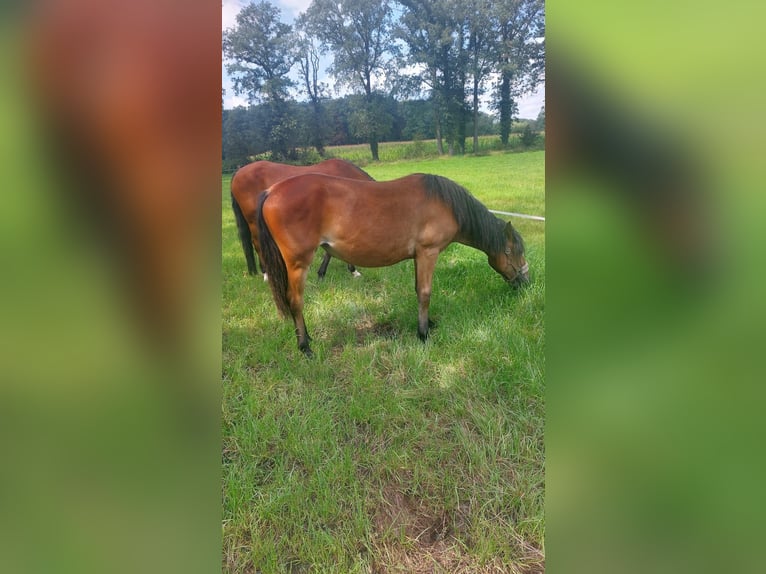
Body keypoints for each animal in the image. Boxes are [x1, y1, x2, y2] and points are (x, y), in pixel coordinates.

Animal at [255, 173, 532, 358]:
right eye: (516, 252)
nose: (527, 283)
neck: (445, 204)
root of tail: (271, 191)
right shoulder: (428, 253)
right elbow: (425, 293)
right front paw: (423, 334)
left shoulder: (418, 257)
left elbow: (418, 290)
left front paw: (427, 324)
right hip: (298, 264)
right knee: (295, 301)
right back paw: (305, 347)